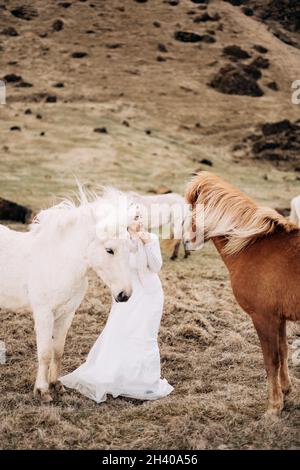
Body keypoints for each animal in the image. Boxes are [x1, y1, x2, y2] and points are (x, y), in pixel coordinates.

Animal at [0, 189, 132, 402]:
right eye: (109, 250)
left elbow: (58, 350)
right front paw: (42, 391)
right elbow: (45, 352)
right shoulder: (44, 314)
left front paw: (56, 385)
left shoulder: (67, 313)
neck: (58, 262)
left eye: (130, 248)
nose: (124, 294)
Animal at [184, 171, 298, 416]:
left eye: (193, 210)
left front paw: (274, 407)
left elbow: (271, 360)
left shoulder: (264, 318)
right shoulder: (280, 318)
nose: (187, 242)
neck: (252, 245)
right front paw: (286, 390)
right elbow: (283, 350)